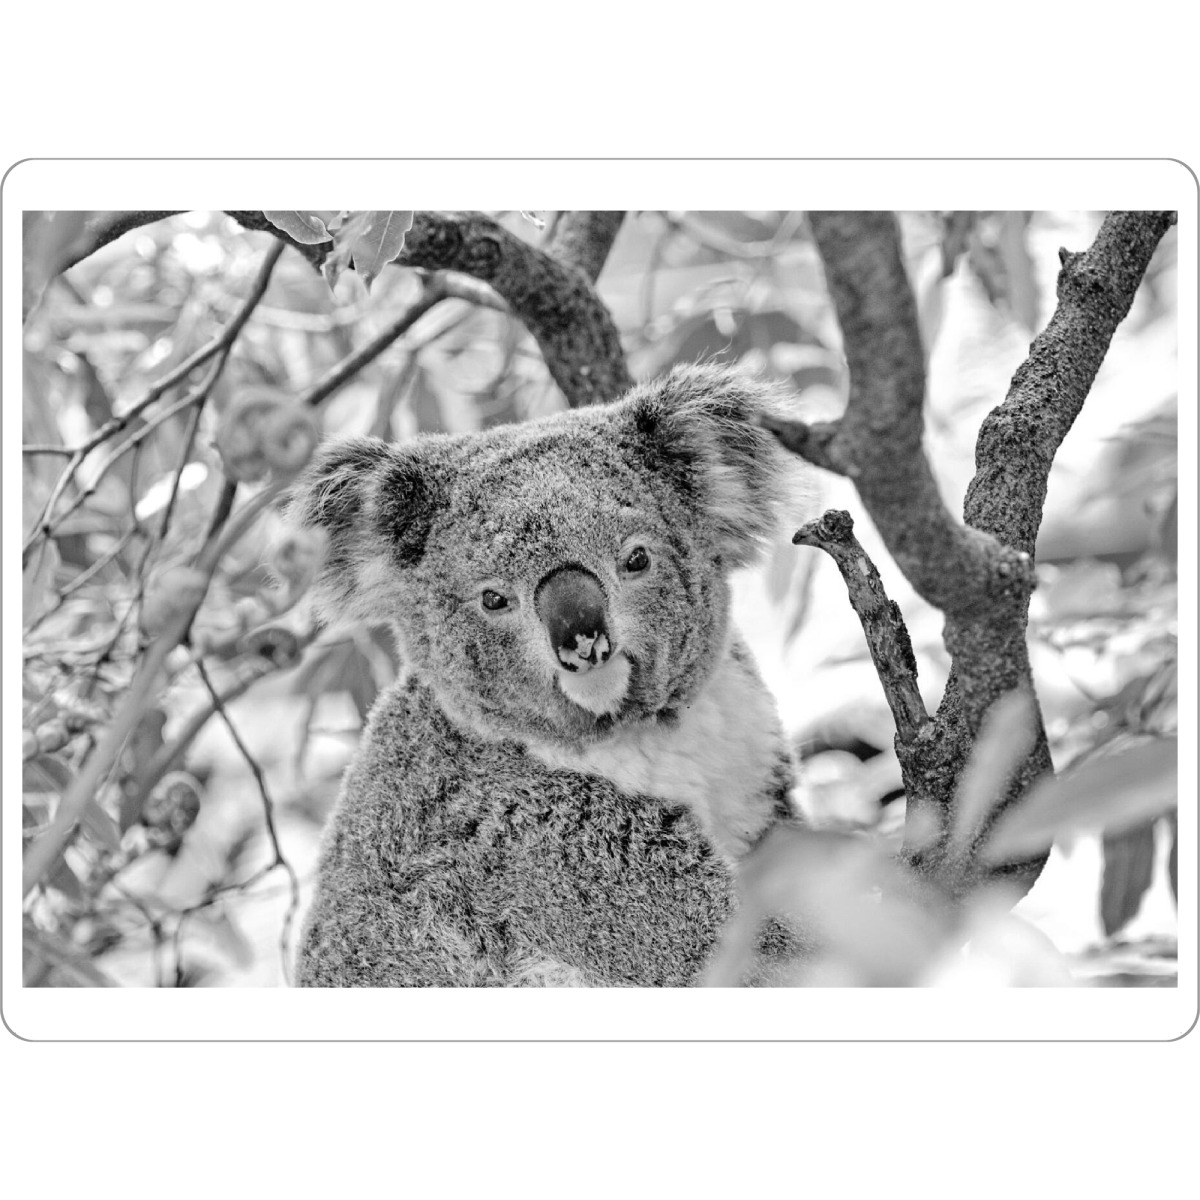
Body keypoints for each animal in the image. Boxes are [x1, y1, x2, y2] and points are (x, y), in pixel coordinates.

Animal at [286, 363, 805, 986]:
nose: (583, 642)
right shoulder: (538, 842)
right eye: (493, 599)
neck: (633, 736)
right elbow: (722, 944)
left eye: (636, 559)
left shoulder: (747, 749)